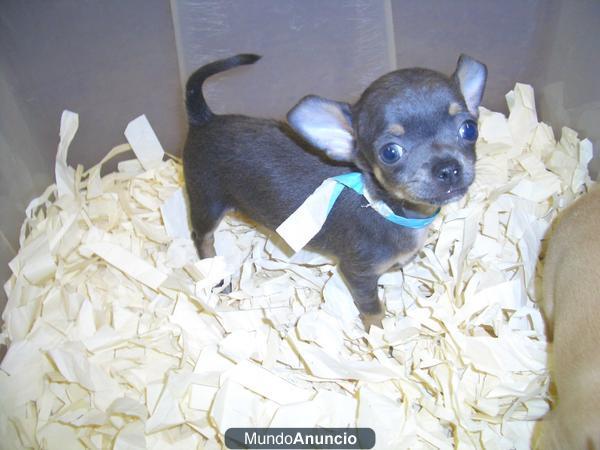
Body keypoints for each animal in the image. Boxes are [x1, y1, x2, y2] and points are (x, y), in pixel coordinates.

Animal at [184, 54, 488, 328]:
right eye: (390, 153)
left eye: (470, 129)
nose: (448, 168)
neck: (386, 207)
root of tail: (204, 119)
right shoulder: (358, 274)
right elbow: (373, 310)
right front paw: (378, 336)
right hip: (207, 201)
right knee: (201, 237)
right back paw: (215, 275)